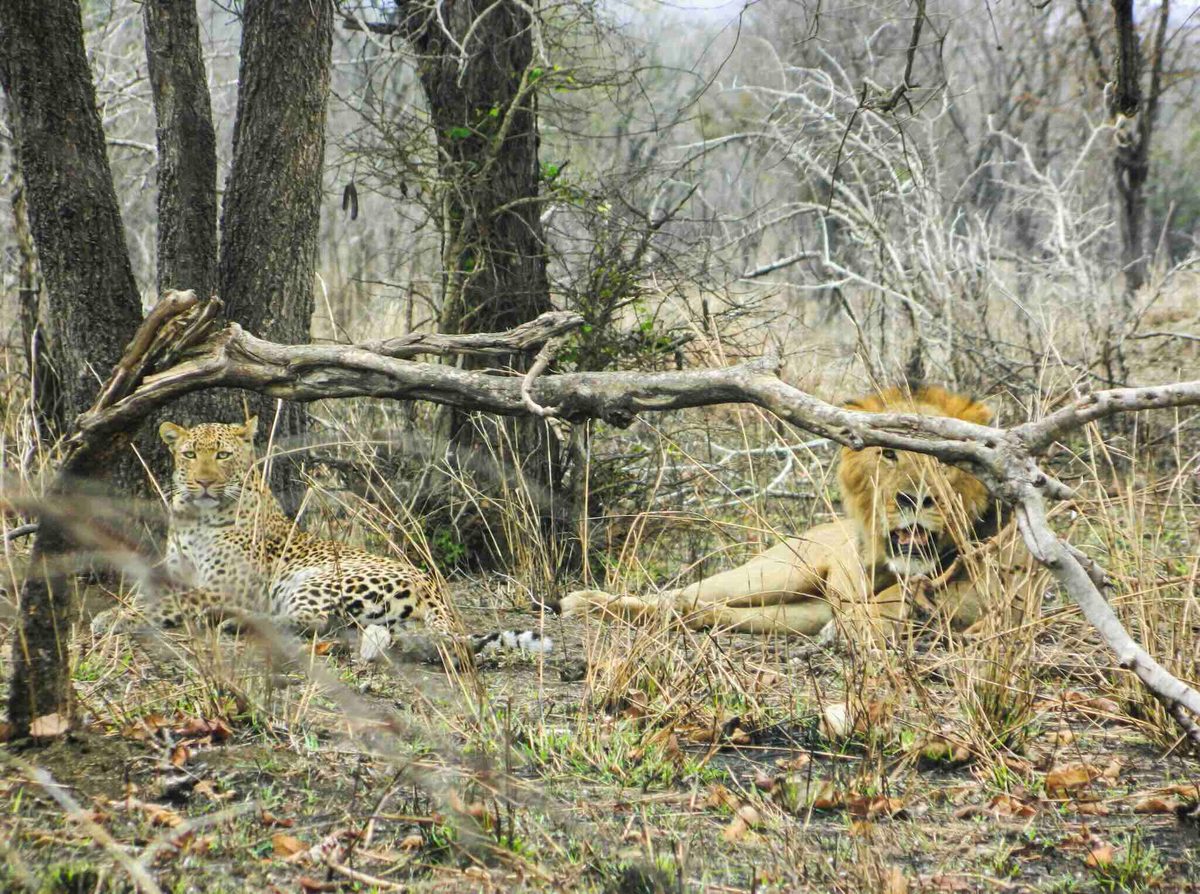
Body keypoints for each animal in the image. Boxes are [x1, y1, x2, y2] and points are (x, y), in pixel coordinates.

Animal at [91, 417, 551, 660]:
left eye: (222, 455)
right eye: (189, 454)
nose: (204, 482)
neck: (196, 520)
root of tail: (436, 589)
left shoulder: (226, 586)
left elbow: (171, 601)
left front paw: (113, 618)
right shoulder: (173, 568)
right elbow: (148, 590)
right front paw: (120, 609)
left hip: (319, 577)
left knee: (313, 622)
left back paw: (234, 621)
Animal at [560, 385, 1043, 644]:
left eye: (946, 460)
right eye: (888, 453)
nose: (915, 499)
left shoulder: (1003, 606)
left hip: (797, 610)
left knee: (703, 609)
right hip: (777, 572)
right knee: (680, 594)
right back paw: (584, 601)